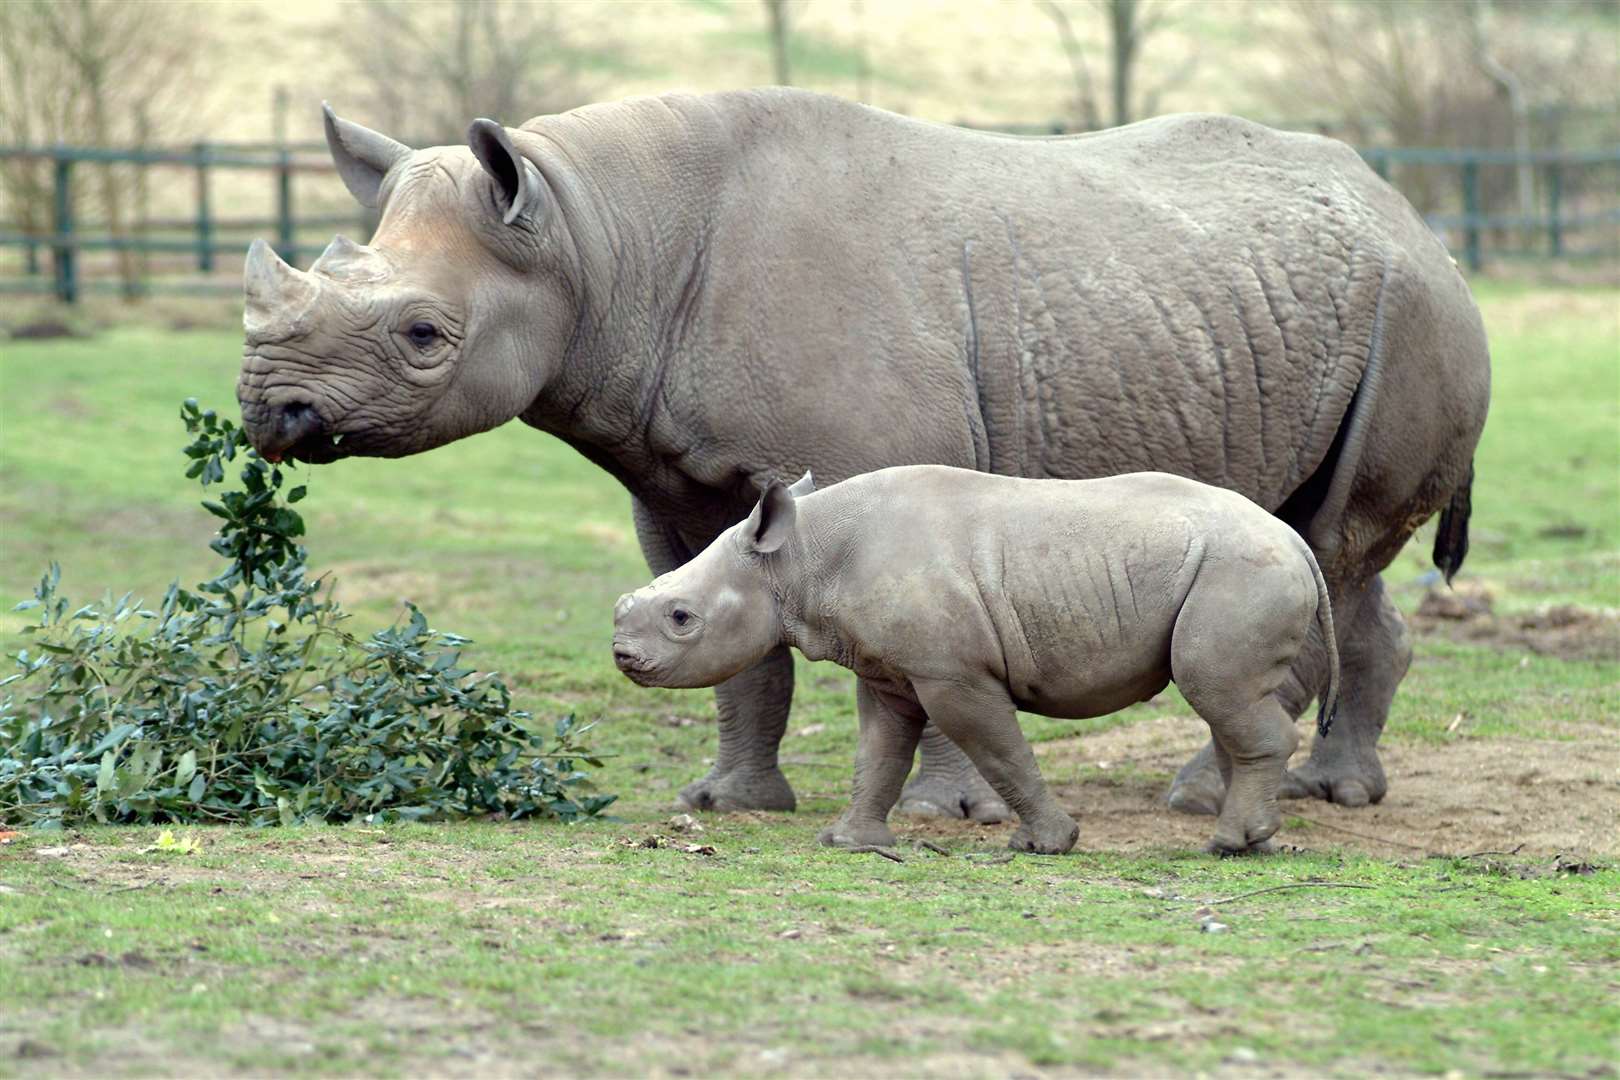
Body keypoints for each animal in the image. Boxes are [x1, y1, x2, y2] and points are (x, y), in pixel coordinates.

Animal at [612, 469, 1334, 854]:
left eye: (681, 618)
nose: (621, 654)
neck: (800, 559)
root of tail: (1296, 542)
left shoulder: (952, 675)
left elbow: (998, 750)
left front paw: (1046, 845)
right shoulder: (888, 673)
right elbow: (878, 753)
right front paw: (852, 842)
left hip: (1237, 571)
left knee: (1215, 690)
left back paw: (1228, 843)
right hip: (1234, 569)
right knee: (1228, 700)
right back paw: (1255, 840)